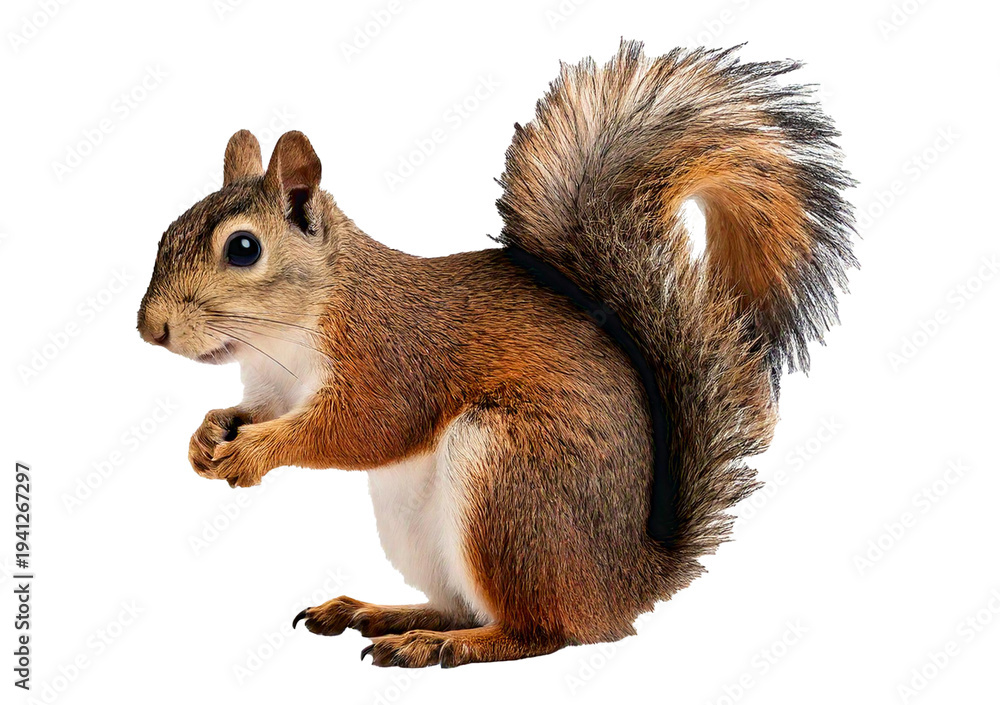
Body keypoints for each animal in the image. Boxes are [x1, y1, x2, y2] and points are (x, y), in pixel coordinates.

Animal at [137, 42, 855, 668]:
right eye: (168, 230)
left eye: (244, 248)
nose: (150, 327)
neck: (286, 336)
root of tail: (626, 581)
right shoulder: (273, 388)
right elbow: (253, 410)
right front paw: (209, 435)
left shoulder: (390, 355)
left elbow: (363, 427)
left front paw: (255, 451)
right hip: (424, 530)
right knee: (462, 603)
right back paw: (379, 614)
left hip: (509, 483)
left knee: (541, 630)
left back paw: (439, 646)